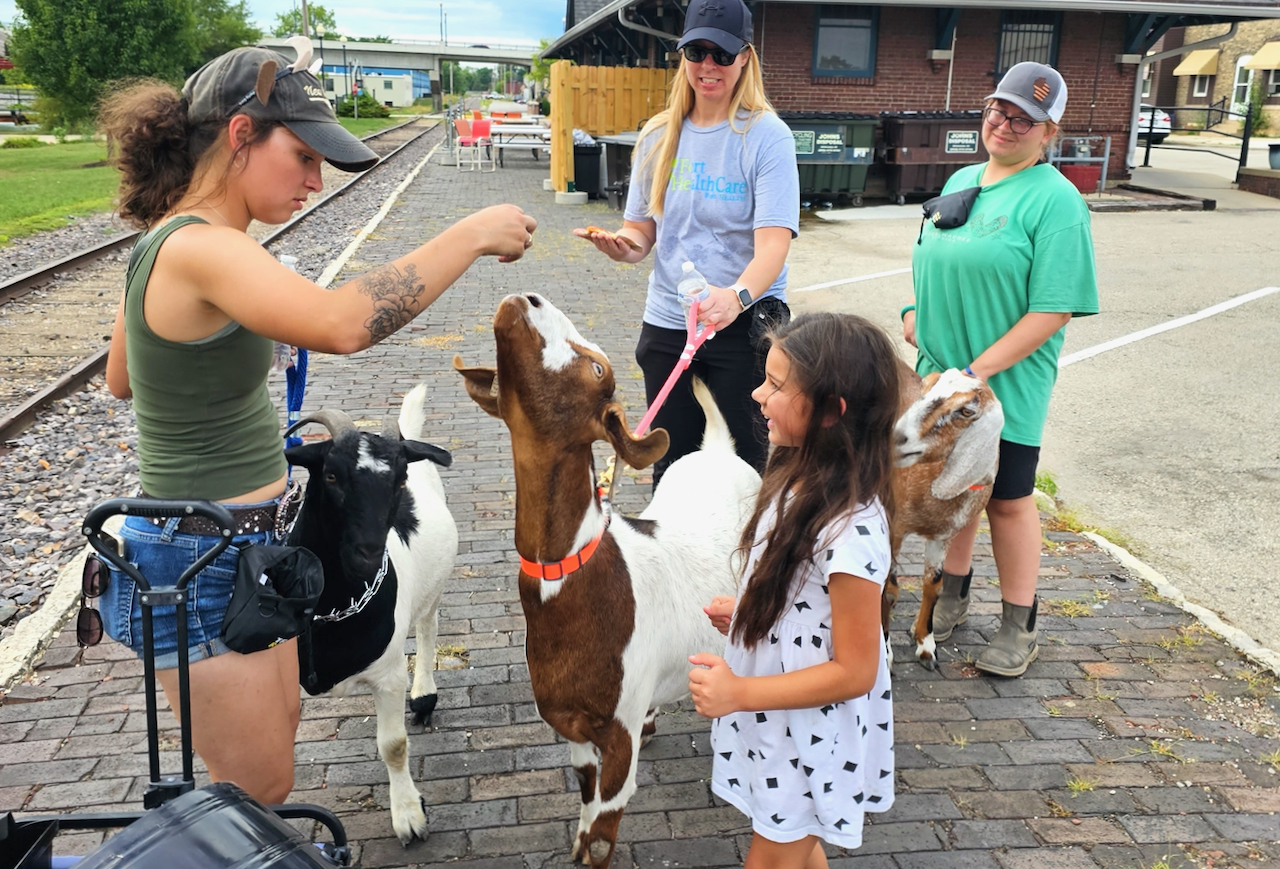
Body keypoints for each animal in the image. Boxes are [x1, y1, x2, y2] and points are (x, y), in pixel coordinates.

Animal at [285, 383, 460, 844]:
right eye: (330, 475)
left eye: (398, 479)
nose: (366, 556)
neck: (331, 609)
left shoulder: (389, 675)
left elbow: (394, 745)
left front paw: (409, 816)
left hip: (434, 590)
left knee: (429, 626)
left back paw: (424, 696)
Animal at [453, 294, 757, 869]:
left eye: (597, 368)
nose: (527, 298)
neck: (574, 573)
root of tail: (721, 452)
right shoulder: (572, 727)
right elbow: (584, 799)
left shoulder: (618, 735)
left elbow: (601, 833)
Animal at [885, 363, 1003, 670]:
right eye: (925, 388)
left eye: (966, 411)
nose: (894, 437)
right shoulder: (893, 527)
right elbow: (888, 591)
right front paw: (885, 653)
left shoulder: (943, 535)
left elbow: (934, 586)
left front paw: (926, 645)